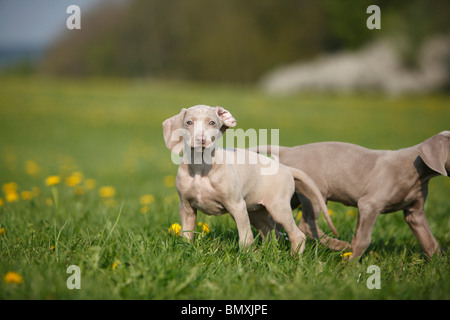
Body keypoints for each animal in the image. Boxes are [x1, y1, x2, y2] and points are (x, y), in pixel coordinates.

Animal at [163, 106, 338, 256]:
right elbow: (186, 234)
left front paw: (245, 258)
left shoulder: (237, 205)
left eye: (212, 122)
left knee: (297, 234)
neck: (201, 167)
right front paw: (185, 251)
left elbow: (245, 239)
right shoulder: (186, 206)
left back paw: (294, 259)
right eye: (189, 122)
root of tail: (287, 169)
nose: (201, 139)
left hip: (278, 207)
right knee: (272, 233)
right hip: (256, 211)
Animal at [251, 131, 448, 258]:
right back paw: (339, 245)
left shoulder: (415, 212)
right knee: (307, 225)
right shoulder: (369, 204)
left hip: (292, 195)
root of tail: (287, 149)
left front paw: (437, 266)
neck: (417, 173)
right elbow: (363, 240)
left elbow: (430, 241)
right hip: (315, 194)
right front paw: (350, 265)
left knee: (278, 218)